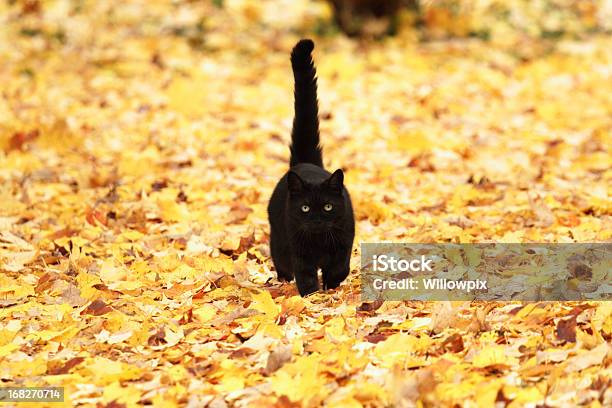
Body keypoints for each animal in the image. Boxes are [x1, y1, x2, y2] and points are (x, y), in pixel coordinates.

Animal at [266, 39, 356, 296]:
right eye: (305, 208)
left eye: (327, 206)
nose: (316, 220)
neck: (319, 242)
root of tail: (305, 162)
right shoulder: (299, 251)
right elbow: (305, 277)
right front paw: (311, 297)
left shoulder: (344, 242)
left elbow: (340, 268)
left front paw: (331, 287)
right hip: (279, 241)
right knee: (282, 264)